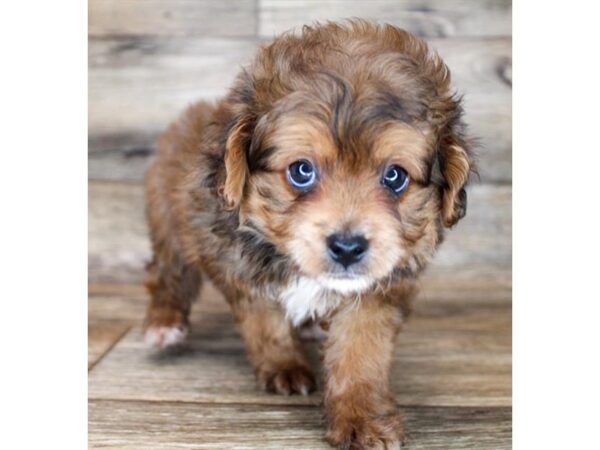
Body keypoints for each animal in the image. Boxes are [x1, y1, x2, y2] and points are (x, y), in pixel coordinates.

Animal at [144, 19, 474, 448]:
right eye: (302, 171)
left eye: (395, 176)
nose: (347, 247)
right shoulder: (239, 263)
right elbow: (265, 322)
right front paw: (283, 366)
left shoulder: (379, 289)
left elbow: (359, 350)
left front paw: (360, 417)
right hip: (169, 219)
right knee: (168, 274)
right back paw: (163, 324)